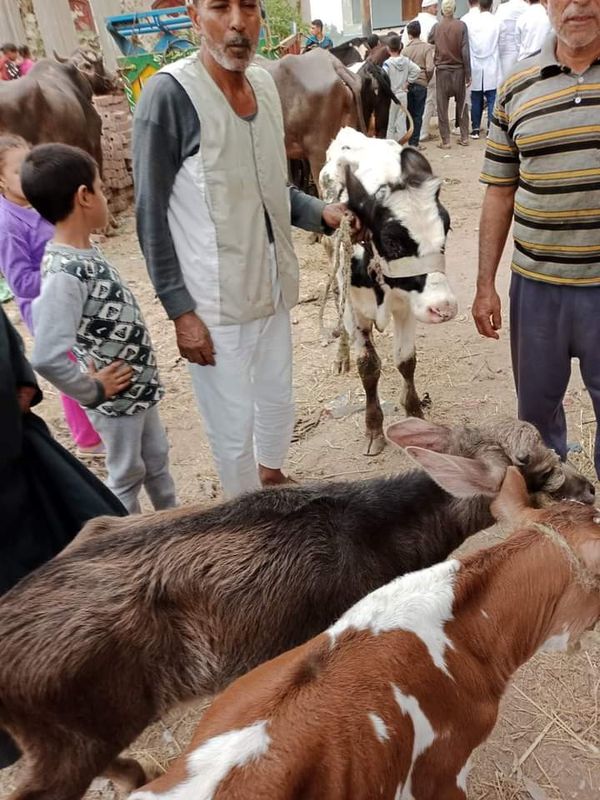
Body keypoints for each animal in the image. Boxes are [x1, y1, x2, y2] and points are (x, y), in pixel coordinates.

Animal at [322, 127, 458, 454]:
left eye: (446, 229)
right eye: (393, 242)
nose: (444, 307)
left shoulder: (406, 307)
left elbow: (406, 361)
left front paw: (416, 416)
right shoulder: (354, 311)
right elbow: (368, 366)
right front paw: (374, 428)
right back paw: (341, 356)